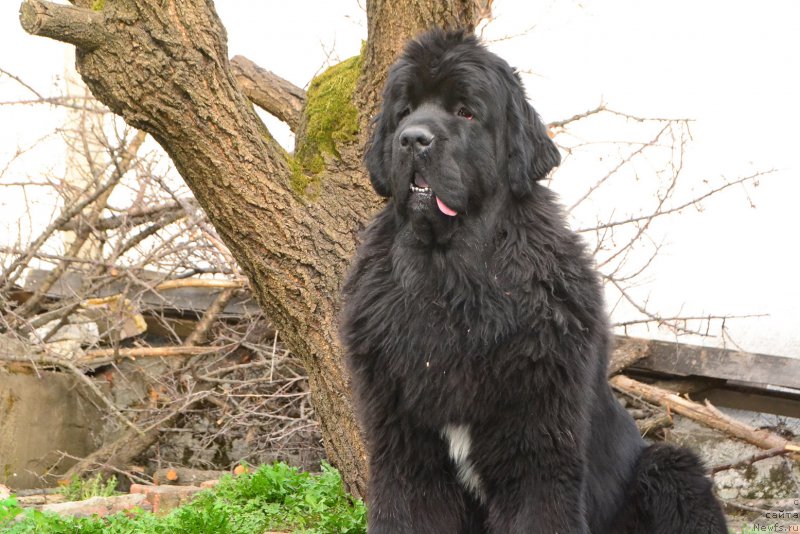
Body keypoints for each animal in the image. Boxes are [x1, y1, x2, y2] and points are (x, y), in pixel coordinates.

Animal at [338, 29, 724, 534]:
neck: (450, 277)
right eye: (404, 111)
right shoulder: (406, 453)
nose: (412, 139)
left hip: (671, 466)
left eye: (465, 111)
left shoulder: (539, 454)